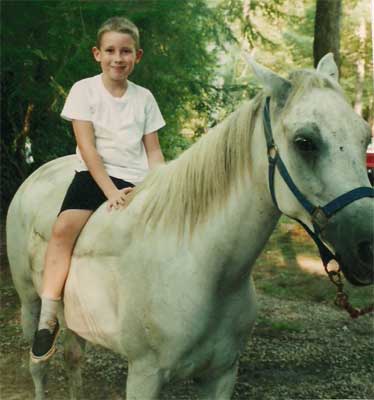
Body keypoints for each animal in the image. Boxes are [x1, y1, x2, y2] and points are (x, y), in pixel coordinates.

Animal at [6, 54, 374, 400]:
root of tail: (36, 175)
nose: (367, 247)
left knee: (73, 358)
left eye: (364, 137)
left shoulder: (221, 375)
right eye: (304, 142)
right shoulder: (144, 377)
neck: (204, 268)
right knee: (39, 365)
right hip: (31, 304)